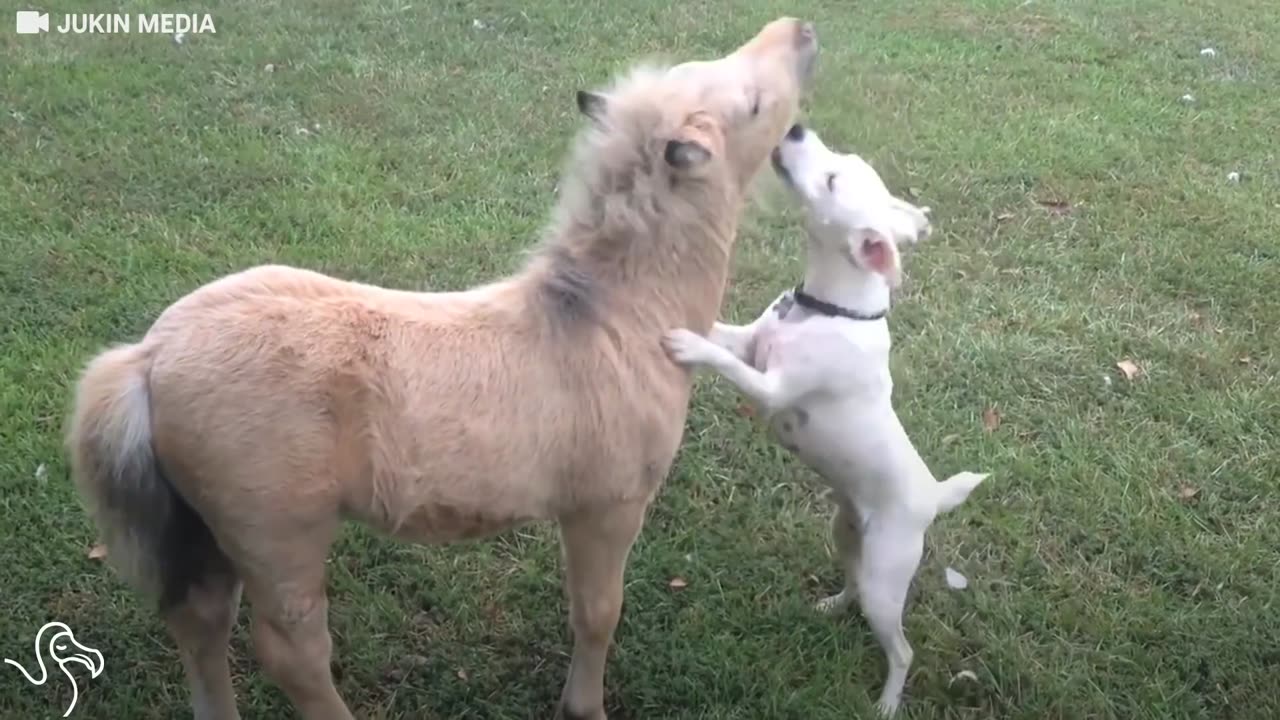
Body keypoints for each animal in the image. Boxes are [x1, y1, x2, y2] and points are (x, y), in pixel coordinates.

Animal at [665, 122, 983, 712]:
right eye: (843, 159)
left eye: (832, 179)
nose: (795, 127)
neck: (829, 309)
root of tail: (932, 499)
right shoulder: (751, 341)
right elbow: (722, 333)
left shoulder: (770, 388)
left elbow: (721, 358)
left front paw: (688, 345)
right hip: (845, 535)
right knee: (852, 585)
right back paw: (832, 606)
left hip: (886, 581)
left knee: (902, 649)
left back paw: (887, 702)